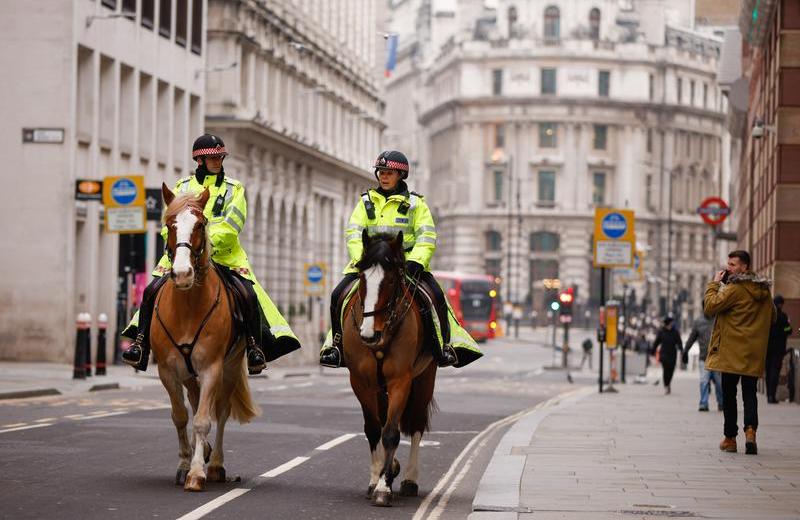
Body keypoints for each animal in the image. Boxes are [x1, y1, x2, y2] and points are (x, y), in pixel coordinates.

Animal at [152, 183, 260, 492]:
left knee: (219, 411)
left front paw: (197, 472)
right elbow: (180, 416)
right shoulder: (167, 370)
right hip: (189, 373)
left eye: (201, 224)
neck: (188, 307)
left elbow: (203, 420)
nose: (182, 274)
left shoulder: (212, 367)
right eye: (170, 224)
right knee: (195, 398)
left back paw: (215, 464)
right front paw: (184, 465)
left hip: (230, 368)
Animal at [340, 232, 434, 508]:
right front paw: (377, 479)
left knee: (416, 424)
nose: (368, 334)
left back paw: (409, 479)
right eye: (362, 277)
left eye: (391, 279)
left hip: (424, 379)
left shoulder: (400, 380)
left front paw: (384, 487)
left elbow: (391, 432)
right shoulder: (360, 381)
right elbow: (374, 429)